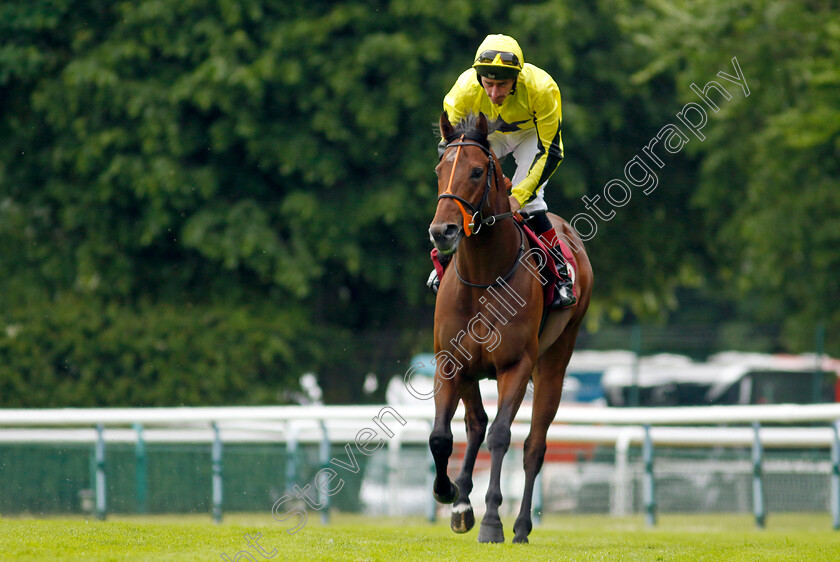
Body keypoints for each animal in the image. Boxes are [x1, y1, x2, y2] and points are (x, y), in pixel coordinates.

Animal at [430, 110, 592, 544]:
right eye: (439, 170)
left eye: (476, 172)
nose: (442, 231)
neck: (484, 277)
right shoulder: (450, 362)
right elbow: (442, 435)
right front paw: (449, 494)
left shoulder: (515, 365)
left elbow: (503, 435)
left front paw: (491, 521)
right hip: (471, 372)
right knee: (474, 424)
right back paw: (462, 502)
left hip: (554, 362)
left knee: (534, 445)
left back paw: (520, 526)